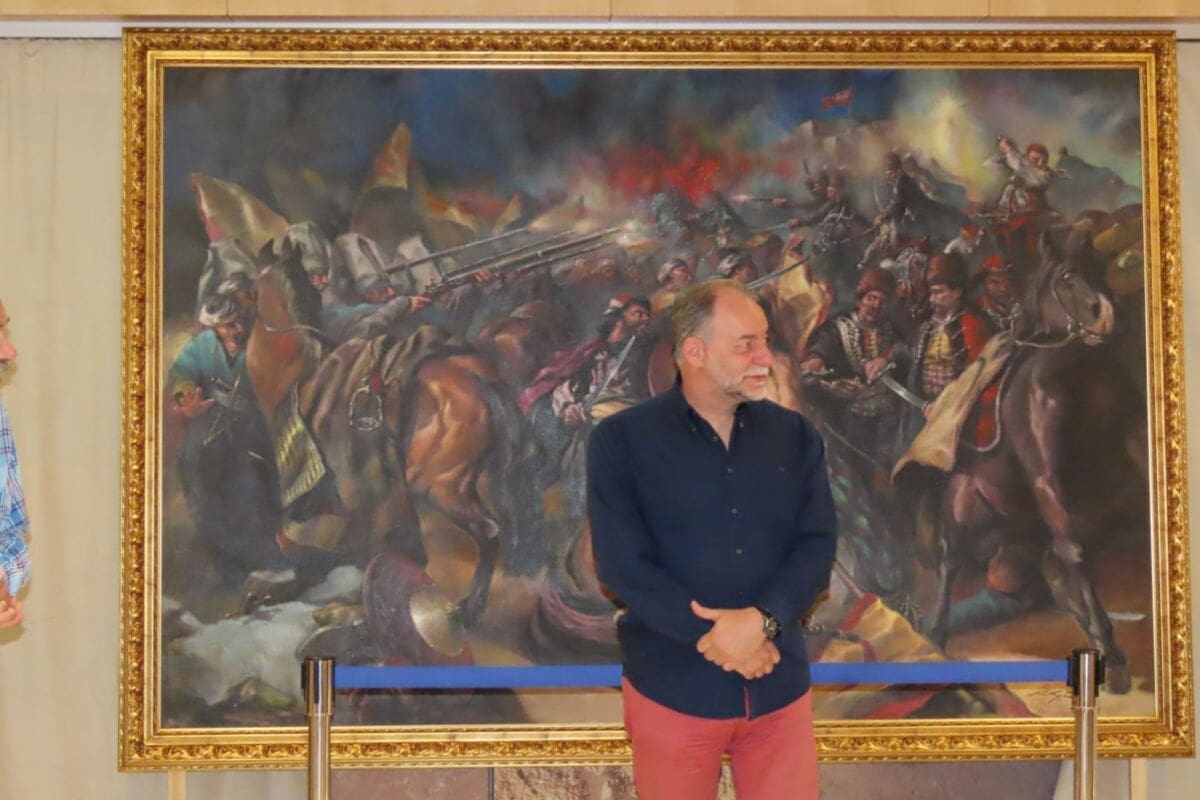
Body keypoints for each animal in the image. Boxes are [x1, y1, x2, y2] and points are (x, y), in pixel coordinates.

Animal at [244, 248, 529, 637]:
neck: (296, 368)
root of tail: (477, 377)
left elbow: (306, 542)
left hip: (435, 487)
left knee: (485, 532)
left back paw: (462, 611)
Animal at [901, 225, 1145, 693]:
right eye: (1067, 277)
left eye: (1096, 269)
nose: (1105, 315)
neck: (1070, 371)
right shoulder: (1045, 477)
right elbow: (1074, 551)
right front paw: (1114, 661)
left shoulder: (1133, 440)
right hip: (966, 510)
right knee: (952, 562)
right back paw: (936, 635)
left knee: (1050, 568)